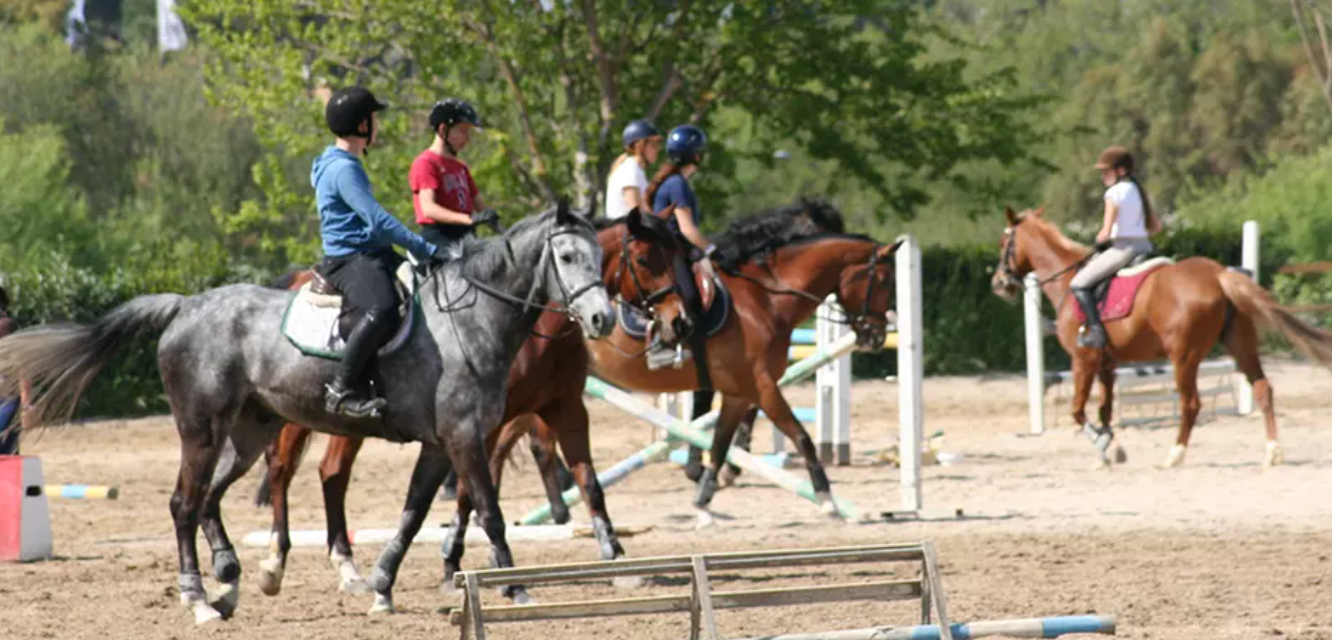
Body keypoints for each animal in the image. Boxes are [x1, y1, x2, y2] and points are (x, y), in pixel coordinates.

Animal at [0, 202, 614, 624]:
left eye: (601, 257)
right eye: (566, 257)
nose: (603, 319)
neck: (472, 316)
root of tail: (185, 306)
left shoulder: (442, 445)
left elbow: (414, 514)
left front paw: (381, 586)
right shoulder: (464, 438)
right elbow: (489, 512)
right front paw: (516, 588)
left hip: (248, 433)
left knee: (212, 499)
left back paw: (231, 578)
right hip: (202, 430)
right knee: (184, 504)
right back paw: (199, 599)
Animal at [252, 209, 689, 596]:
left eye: (600, 258)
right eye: (645, 259)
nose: (678, 321)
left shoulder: (565, 408)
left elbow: (589, 482)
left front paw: (617, 559)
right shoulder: (477, 426)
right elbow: (472, 492)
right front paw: (457, 563)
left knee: (329, 473)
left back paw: (345, 568)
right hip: (297, 413)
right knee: (287, 470)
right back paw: (277, 564)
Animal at [990, 206, 1332, 467]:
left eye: (1004, 242)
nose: (998, 283)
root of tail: (1218, 274)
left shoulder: (1083, 360)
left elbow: (1077, 410)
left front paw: (1102, 445)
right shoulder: (1107, 363)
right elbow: (1105, 409)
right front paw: (1110, 449)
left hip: (1184, 356)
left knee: (1191, 403)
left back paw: (1174, 455)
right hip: (1240, 345)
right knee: (1262, 389)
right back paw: (1273, 452)